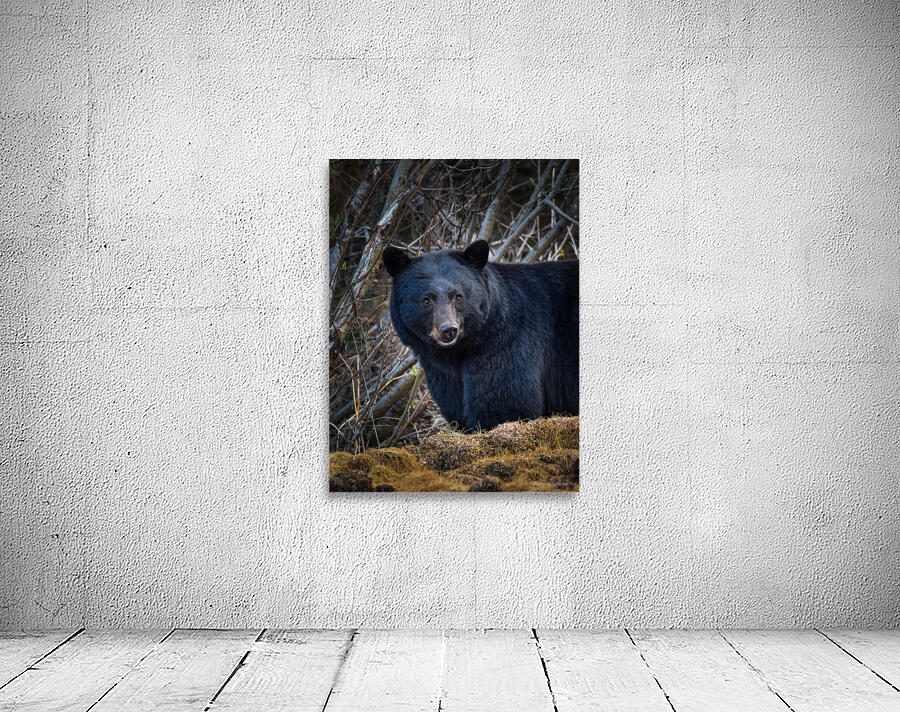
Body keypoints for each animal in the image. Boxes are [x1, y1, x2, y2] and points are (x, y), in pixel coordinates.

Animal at [383, 239, 578, 432]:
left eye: (458, 296)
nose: (449, 329)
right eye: (426, 300)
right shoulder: (441, 372)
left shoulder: (508, 345)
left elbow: (507, 403)